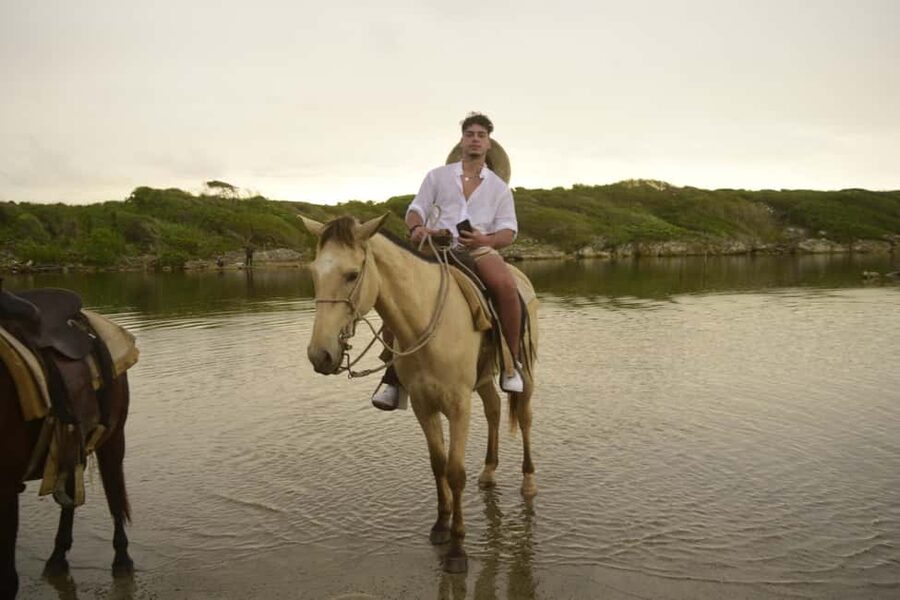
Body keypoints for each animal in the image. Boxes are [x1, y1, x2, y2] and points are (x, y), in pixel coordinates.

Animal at [0, 297, 134, 599]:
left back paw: (121, 560)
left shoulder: (5, 487)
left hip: (113, 438)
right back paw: (58, 557)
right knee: (71, 493)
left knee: (114, 494)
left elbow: (8, 579)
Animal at [301, 213, 538, 573]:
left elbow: (455, 472)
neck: (425, 322)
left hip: (526, 371)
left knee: (523, 418)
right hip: (483, 380)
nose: (320, 355)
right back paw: (488, 471)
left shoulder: (458, 406)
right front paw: (441, 525)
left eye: (352, 274)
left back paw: (528, 482)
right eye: (314, 272)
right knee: (494, 409)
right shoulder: (423, 405)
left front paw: (457, 548)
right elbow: (438, 464)